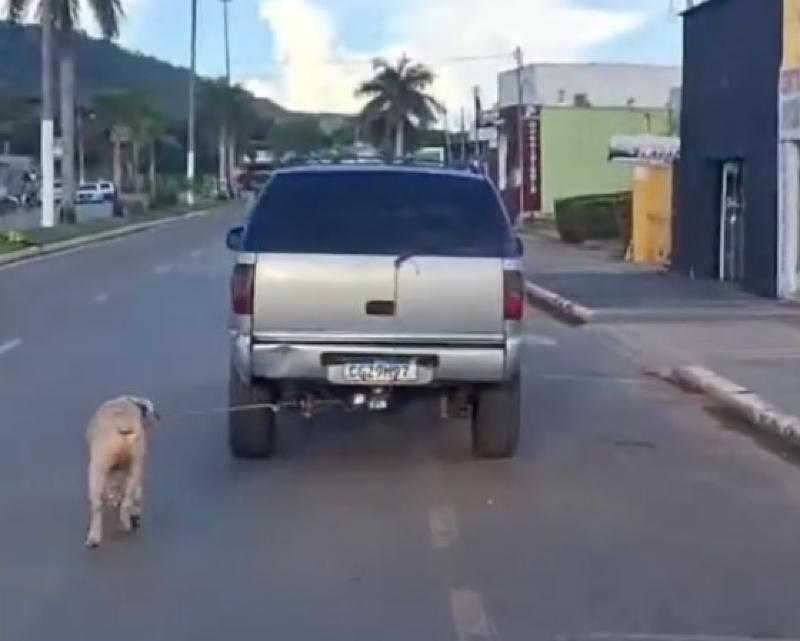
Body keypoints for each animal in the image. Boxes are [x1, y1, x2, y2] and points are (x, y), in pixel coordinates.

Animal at [85, 396, 159, 549]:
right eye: (151, 410)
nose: (158, 416)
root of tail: (123, 427)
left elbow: (111, 485)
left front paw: (113, 497)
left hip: (96, 469)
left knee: (97, 506)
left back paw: (94, 536)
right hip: (135, 466)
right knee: (129, 499)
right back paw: (129, 519)